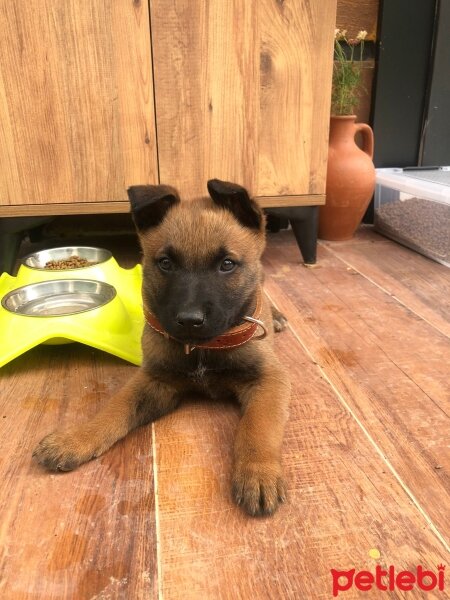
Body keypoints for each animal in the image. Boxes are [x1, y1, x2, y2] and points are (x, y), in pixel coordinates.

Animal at [32, 179, 292, 516]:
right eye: (166, 263)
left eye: (227, 264)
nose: (190, 320)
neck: (201, 349)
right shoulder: (154, 381)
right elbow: (114, 408)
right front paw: (75, 438)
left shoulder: (269, 378)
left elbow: (258, 425)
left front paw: (258, 472)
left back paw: (276, 316)